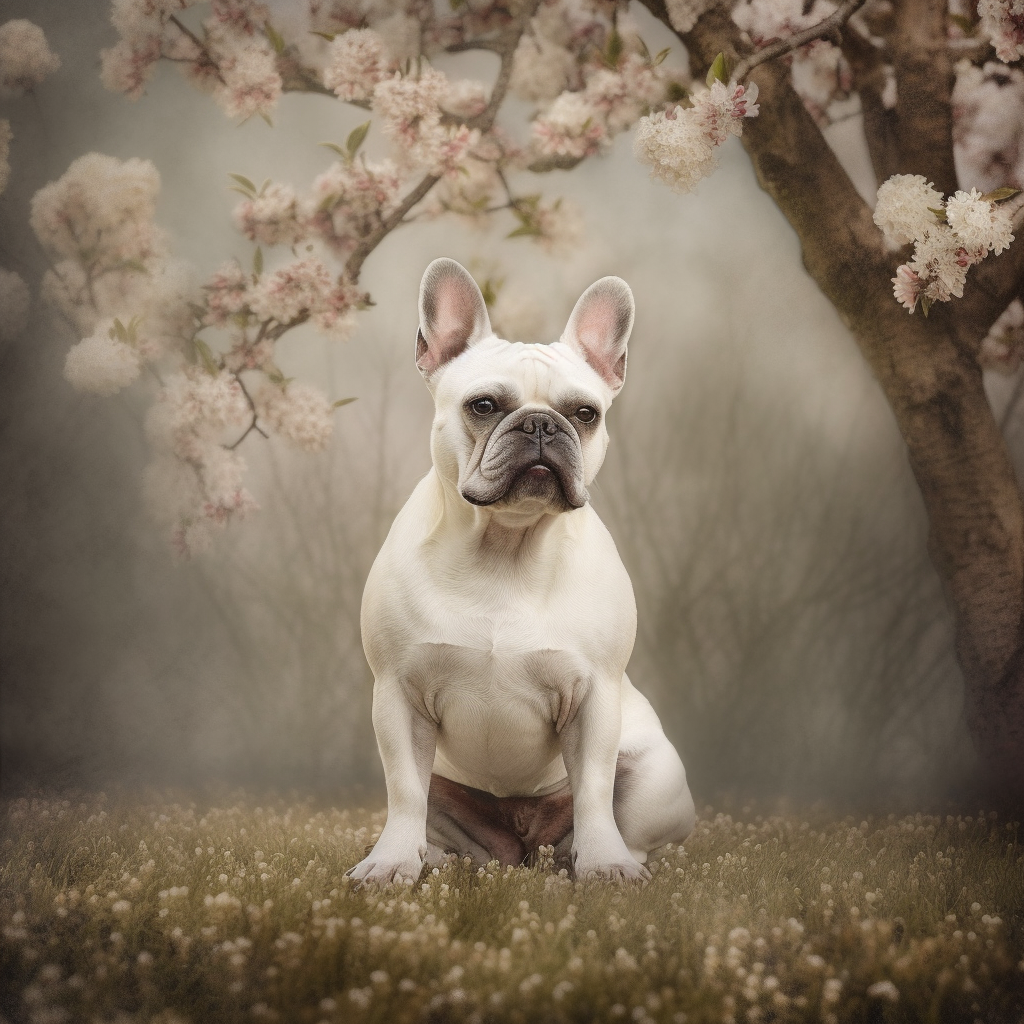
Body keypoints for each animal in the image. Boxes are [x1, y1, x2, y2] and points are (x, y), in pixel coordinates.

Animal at [346, 253, 696, 880]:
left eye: (585, 413)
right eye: (484, 405)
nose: (540, 424)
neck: (506, 545)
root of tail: (522, 845)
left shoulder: (594, 698)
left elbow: (594, 790)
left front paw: (604, 865)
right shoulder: (398, 695)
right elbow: (405, 791)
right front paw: (390, 865)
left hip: (657, 775)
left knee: (622, 821)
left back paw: (602, 862)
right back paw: (437, 860)